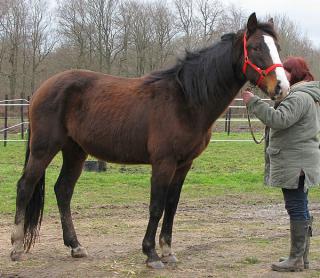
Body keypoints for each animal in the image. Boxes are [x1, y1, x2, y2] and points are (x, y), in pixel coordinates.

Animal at [10, 11, 290, 268]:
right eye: (255, 47)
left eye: (277, 47)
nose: (281, 87)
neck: (185, 100)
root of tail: (43, 88)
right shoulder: (163, 162)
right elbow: (156, 206)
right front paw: (151, 254)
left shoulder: (183, 164)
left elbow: (172, 205)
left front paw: (167, 251)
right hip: (44, 149)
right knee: (25, 187)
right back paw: (16, 246)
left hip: (75, 151)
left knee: (63, 190)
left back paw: (76, 246)